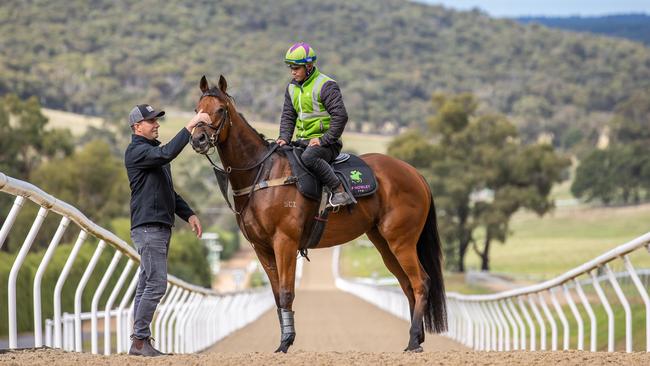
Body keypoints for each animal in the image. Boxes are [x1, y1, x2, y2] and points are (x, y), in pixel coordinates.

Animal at [189, 76, 446, 354]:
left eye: (220, 109)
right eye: (197, 110)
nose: (198, 139)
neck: (263, 173)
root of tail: (415, 174)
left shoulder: (285, 242)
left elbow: (286, 293)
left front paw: (286, 342)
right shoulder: (262, 248)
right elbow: (276, 294)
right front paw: (284, 340)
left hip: (401, 240)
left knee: (421, 282)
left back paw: (413, 341)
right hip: (384, 243)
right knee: (407, 284)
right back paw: (416, 338)